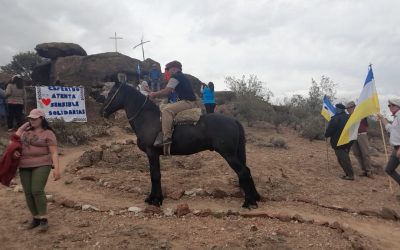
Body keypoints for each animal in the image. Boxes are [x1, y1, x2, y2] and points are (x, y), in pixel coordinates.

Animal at [101, 81, 260, 207]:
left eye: (112, 93)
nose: (103, 111)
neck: (147, 118)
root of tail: (234, 120)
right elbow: (155, 175)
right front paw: (154, 198)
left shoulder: (152, 153)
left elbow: (155, 175)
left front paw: (155, 200)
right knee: (247, 170)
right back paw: (255, 197)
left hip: (229, 154)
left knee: (243, 171)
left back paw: (249, 202)